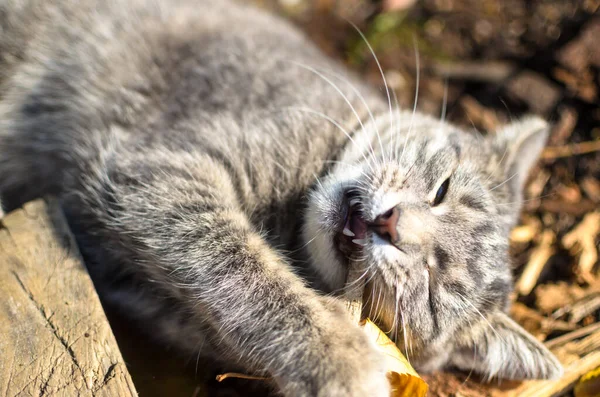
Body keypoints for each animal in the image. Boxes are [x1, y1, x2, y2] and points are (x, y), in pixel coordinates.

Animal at [0, 0, 564, 392]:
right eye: (442, 188)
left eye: (432, 286)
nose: (393, 224)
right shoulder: (160, 167)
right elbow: (245, 270)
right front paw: (337, 355)